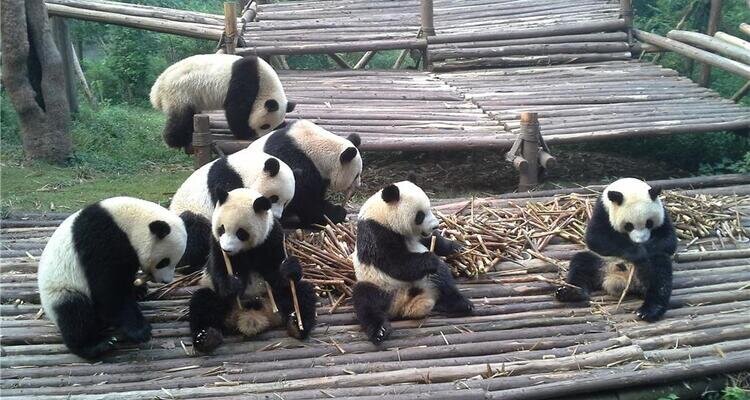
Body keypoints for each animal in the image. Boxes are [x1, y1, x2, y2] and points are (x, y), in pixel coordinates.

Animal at [37, 197, 187, 359]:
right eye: (164, 261)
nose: (166, 281)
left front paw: (139, 290)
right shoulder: (102, 239)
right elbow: (108, 288)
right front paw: (140, 330)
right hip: (61, 289)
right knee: (75, 313)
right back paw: (96, 345)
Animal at [150, 54, 295, 149]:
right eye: (265, 126)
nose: (259, 137)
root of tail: (156, 91)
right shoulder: (246, 78)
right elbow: (236, 109)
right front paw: (245, 133)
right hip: (179, 92)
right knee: (180, 117)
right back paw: (176, 141)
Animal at [189, 188, 317, 353]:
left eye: (240, 233)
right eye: (221, 229)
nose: (227, 249)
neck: (245, 251)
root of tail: (252, 316)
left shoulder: (272, 237)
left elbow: (277, 274)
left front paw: (289, 268)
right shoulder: (215, 243)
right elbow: (217, 269)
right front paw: (232, 284)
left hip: (276, 300)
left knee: (303, 293)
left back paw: (297, 325)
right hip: (222, 303)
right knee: (203, 301)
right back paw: (206, 337)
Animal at [352, 181, 474, 344]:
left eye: (430, 208)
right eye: (420, 215)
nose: (435, 225)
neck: (382, 214)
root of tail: (403, 304)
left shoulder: (419, 235)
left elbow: (433, 240)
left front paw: (457, 247)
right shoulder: (375, 231)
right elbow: (394, 262)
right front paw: (430, 258)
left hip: (426, 280)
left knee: (443, 278)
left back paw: (461, 304)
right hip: (379, 285)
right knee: (365, 301)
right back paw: (379, 330)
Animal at [556, 178, 678, 322]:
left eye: (649, 223)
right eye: (629, 226)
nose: (640, 241)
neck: (628, 186)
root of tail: (619, 280)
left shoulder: (663, 213)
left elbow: (669, 240)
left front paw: (645, 249)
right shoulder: (602, 210)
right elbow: (596, 237)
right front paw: (638, 252)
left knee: (660, 272)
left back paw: (650, 310)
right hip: (603, 262)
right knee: (581, 264)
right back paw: (570, 293)